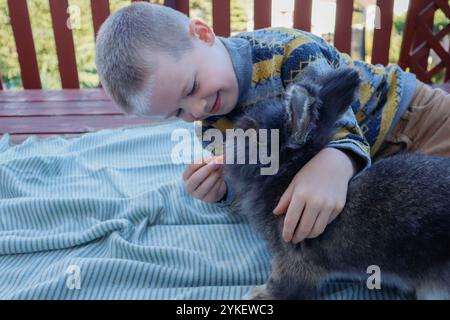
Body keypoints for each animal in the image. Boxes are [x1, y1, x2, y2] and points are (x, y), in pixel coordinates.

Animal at [221, 67, 450, 300]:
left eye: (255, 135)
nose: (232, 131)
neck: (289, 172)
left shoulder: (291, 259)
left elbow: (280, 285)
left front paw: (256, 294)